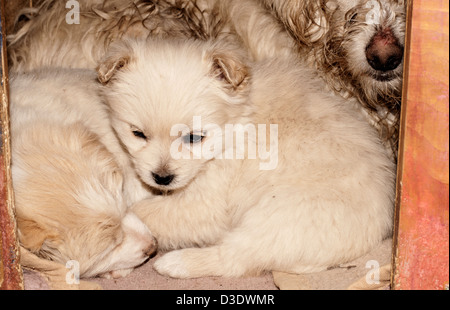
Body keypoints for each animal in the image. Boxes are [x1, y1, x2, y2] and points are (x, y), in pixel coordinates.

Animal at [97, 37, 394, 278]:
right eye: (138, 134)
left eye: (194, 138)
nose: (162, 177)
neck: (236, 127)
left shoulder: (207, 204)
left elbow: (144, 210)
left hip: (276, 216)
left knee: (233, 258)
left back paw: (175, 263)